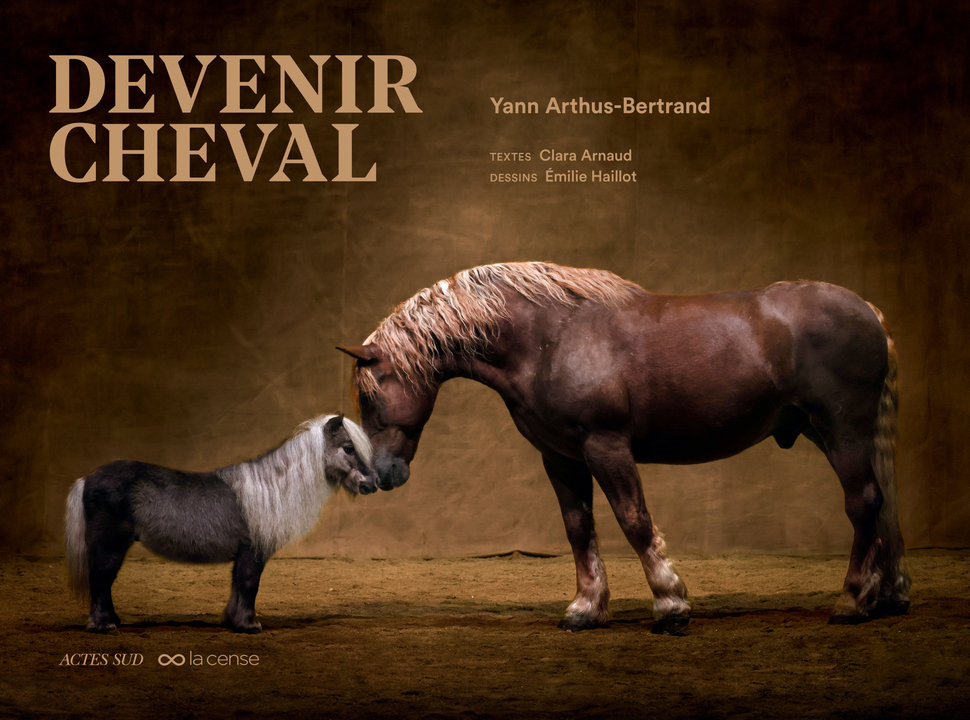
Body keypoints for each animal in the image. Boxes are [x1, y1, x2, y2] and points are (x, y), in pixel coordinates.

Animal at [65, 414, 377, 634]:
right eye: (348, 448)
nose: (372, 484)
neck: (270, 489)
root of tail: (88, 478)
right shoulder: (253, 552)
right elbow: (250, 585)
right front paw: (250, 625)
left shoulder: (242, 555)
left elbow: (238, 586)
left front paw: (233, 620)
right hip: (110, 545)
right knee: (101, 579)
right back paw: (104, 625)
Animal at [338, 261, 911, 635]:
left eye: (371, 396)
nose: (377, 476)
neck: (549, 337)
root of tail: (870, 312)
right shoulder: (561, 457)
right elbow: (579, 528)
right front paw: (586, 609)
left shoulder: (606, 446)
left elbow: (633, 521)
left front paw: (671, 605)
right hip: (830, 432)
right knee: (882, 506)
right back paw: (889, 594)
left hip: (842, 429)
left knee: (864, 504)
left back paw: (852, 601)